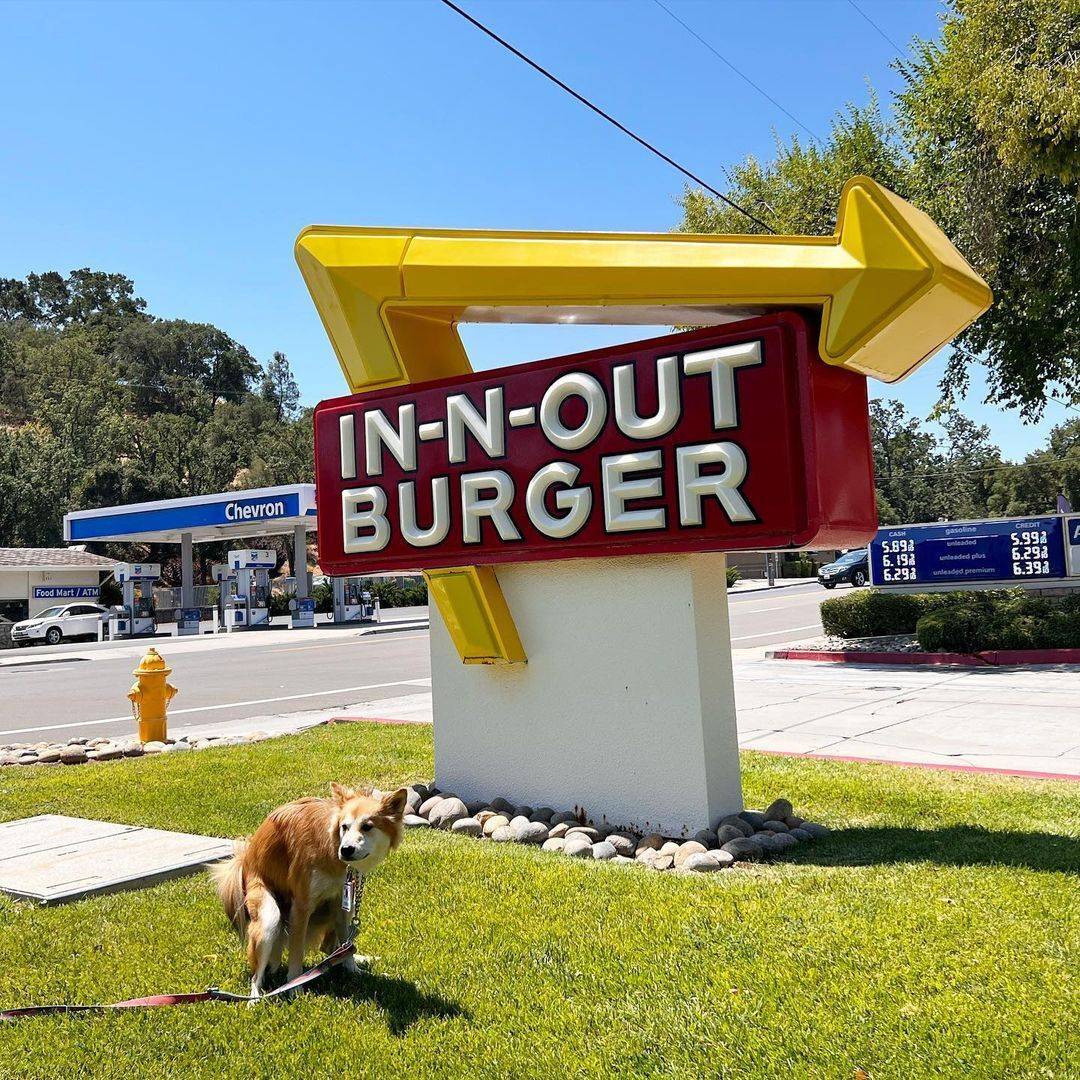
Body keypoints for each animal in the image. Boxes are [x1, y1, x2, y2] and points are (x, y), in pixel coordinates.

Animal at [212, 786, 406, 993]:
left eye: (367, 826)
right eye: (344, 827)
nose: (346, 850)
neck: (332, 844)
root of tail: (244, 863)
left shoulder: (342, 900)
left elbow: (345, 938)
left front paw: (353, 970)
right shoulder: (301, 906)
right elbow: (296, 951)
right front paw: (295, 987)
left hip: (349, 905)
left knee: (329, 947)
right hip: (268, 918)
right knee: (257, 975)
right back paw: (256, 996)